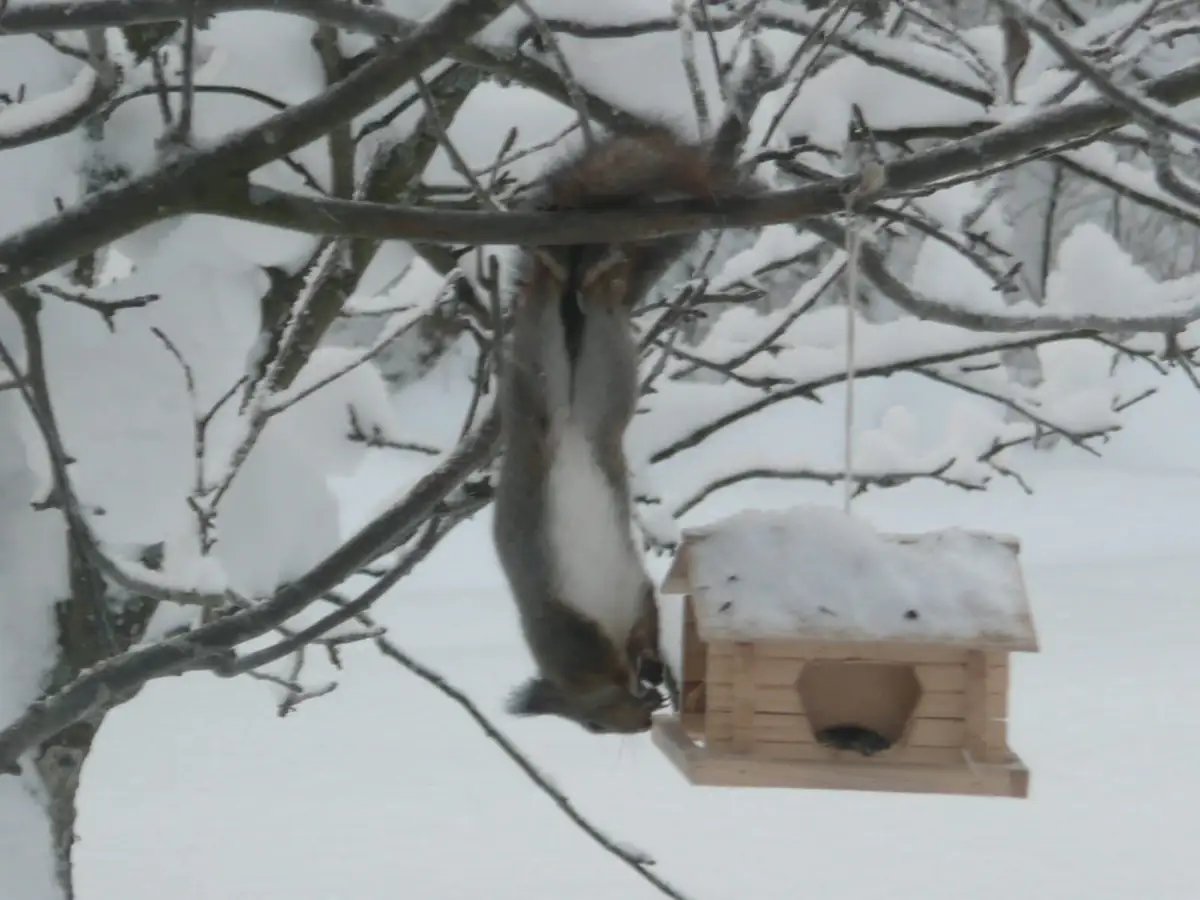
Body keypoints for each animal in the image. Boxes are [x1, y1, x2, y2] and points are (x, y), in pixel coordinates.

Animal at [490, 128, 739, 734]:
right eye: (596, 729)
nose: (641, 724)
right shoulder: (617, 614)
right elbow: (641, 633)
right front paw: (654, 673)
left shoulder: (588, 625)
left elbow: (628, 636)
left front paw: (651, 673)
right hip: (607, 373)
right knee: (595, 300)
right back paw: (598, 270)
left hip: (537, 370)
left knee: (548, 290)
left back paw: (567, 265)